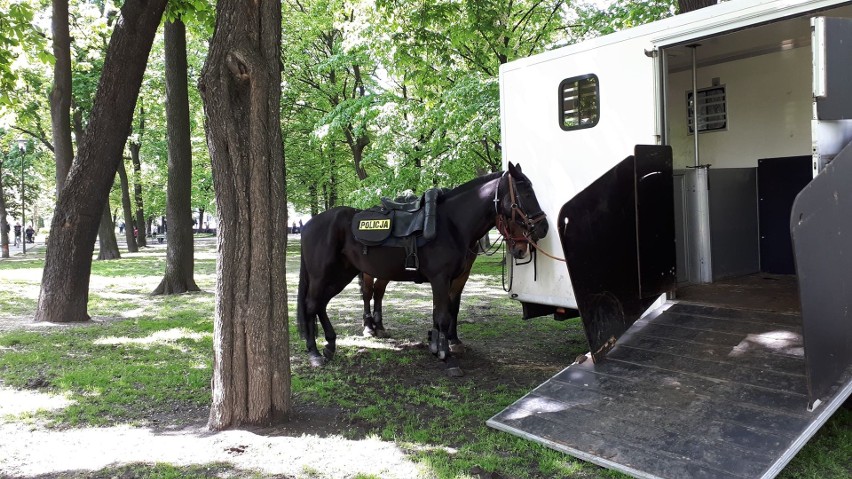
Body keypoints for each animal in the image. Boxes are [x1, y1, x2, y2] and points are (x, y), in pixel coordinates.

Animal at [294, 163, 544, 376]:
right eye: (525, 194)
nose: (542, 228)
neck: (450, 224)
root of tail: (310, 225)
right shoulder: (440, 279)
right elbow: (442, 316)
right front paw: (448, 358)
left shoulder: (452, 280)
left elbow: (445, 312)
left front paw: (439, 346)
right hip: (323, 275)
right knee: (313, 304)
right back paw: (315, 352)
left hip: (341, 274)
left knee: (322, 303)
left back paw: (330, 344)